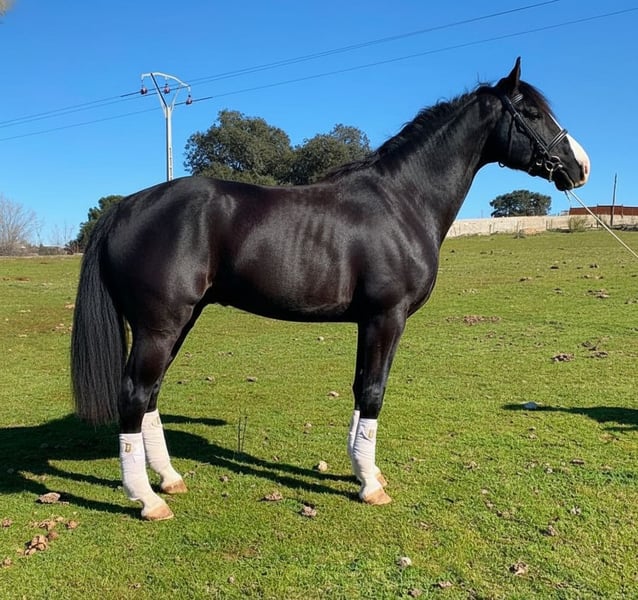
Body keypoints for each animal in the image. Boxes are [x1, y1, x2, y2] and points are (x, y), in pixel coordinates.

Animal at [71, 58, 589, 520]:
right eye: (533, 113)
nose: (580, 166)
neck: (403, 201)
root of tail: (123, 208)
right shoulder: (386, 316)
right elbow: (374, 391)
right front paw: (370, 487)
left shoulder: (370, 321)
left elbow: (361, 389)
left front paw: (367, 473)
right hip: (160, 327)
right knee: (135, 395)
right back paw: (147, 500)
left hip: (179, 322)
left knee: (150, 395)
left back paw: (169, 479)